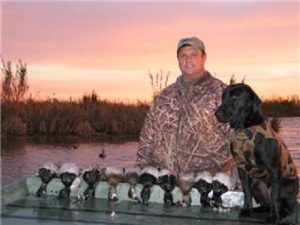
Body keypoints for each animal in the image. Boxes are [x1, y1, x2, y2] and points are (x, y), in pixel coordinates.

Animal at [216, 83, 298, 225]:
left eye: (234, 97)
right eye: (223, 97)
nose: (216, 114)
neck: (244, 129)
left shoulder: (274, 168)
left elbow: (274, 196)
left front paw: (274, 216)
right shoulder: (241, 167)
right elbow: (246, 191)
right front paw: (247, 209)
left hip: (284, 185)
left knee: (287, 207)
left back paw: (280, 213)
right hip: (257, 184)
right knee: (266, 204)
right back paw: (258, 210)